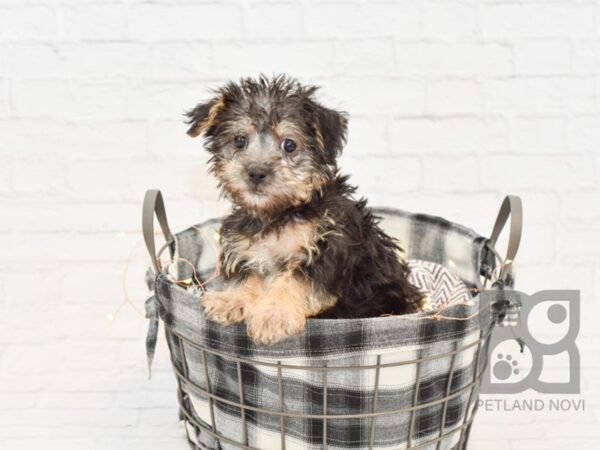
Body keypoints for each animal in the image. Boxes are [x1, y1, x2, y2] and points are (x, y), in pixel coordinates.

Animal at [185, 75, 424, 344]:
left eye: (289, 145)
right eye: (239, 141)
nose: (256, 172)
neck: (279, 212)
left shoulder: (326, 250)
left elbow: (294, 281)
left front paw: (273, 315)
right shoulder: (247, 251)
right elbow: (249, 278)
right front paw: (231, 299)